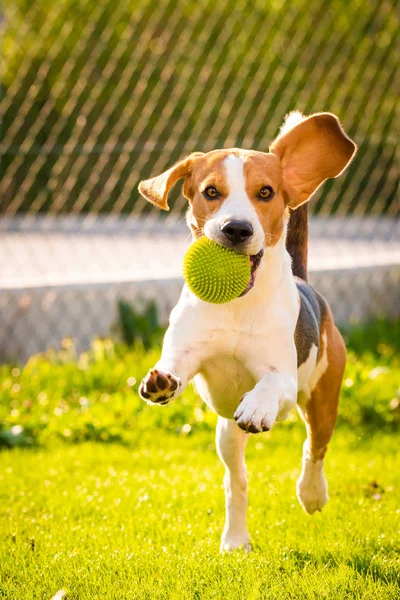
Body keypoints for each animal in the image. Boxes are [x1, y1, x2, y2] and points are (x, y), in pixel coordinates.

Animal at [138, 112, 356, 552]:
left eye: (266, 192)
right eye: (211, 191)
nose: (236, 228)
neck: (236, 304)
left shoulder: (283, 377)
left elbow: (270, 385)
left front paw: (257, 406)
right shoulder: (186, 353)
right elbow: (174, 367)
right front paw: (160, 381)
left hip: (323, 399)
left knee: (315, 447)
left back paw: (311, 494)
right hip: (225, 434)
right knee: (236, 482)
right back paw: (236, 539)